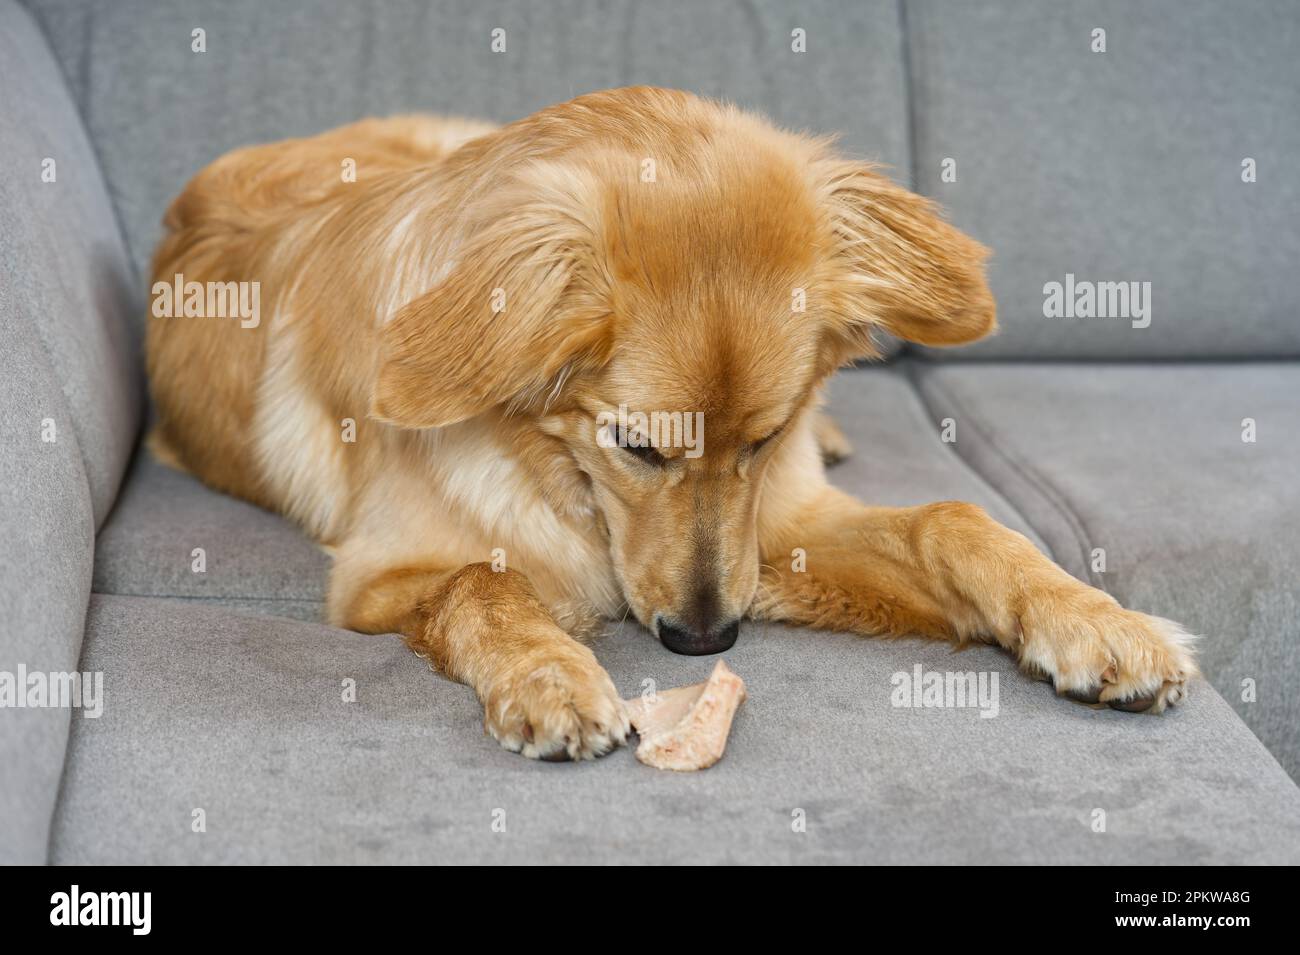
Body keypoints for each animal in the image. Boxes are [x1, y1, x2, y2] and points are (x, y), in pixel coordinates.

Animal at [147, 89, 1190, 764]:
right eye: (638, 446)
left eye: (763, 439)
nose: (703, 640)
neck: (555, 466)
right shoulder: (379, 576)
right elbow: (482, 584)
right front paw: (548, 675)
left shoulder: (778, 529)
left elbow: (955, 519)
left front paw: (1099, 622)